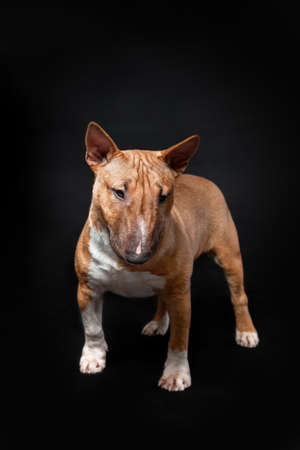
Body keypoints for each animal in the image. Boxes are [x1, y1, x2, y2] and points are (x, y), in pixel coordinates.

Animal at [74, 121, 258, 392]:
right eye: (119, 192)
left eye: (163, 196)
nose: (138, 257)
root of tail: (202, 179)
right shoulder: (87, 288)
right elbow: (93, 328)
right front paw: (94, 356)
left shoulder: (182, 296)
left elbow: (179, 341)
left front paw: (176, 374)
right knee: (162, 299)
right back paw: (158, 324)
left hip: (229, 256)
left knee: (239, 297)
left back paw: (246, 332)